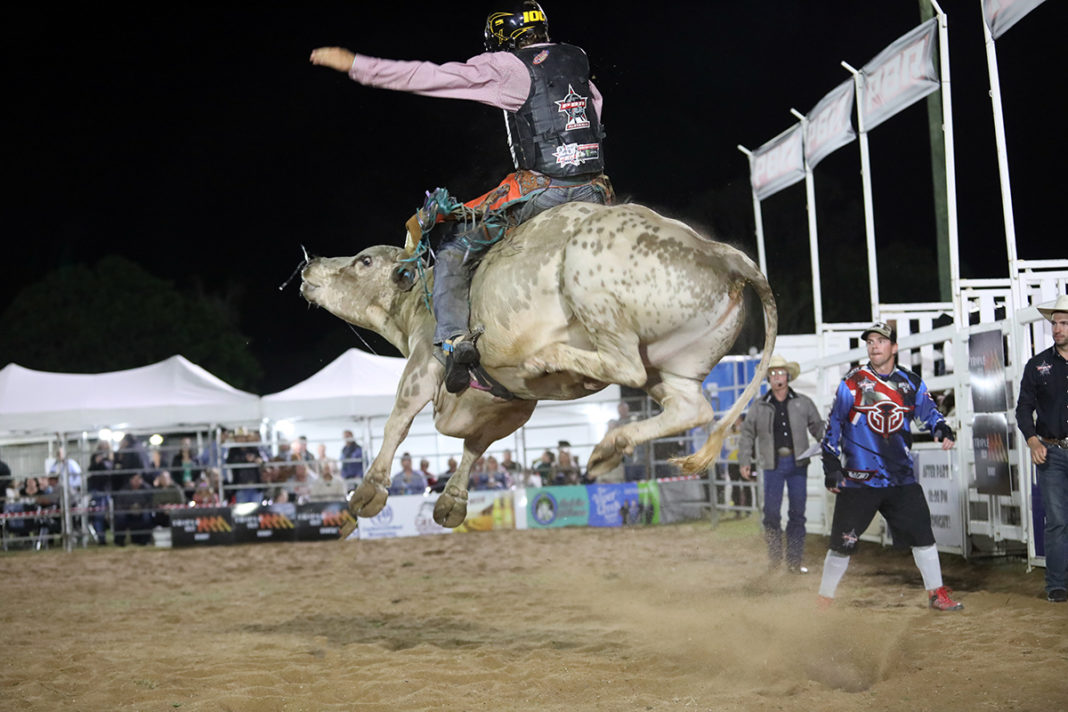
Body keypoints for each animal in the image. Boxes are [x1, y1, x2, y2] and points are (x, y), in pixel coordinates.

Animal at [301, 199, 777, 529]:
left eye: (364, 261)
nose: (310, 266)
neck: (419, 299)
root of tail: (723, 254)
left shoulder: (427, 361)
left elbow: (399, 420)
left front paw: (368, 492)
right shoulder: (509, 403)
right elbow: (476, 444)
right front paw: (452, 502)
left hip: (588, 280)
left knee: (626, 367)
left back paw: (550, 359)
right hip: (674, 367)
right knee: (689, 408)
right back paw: (607, 448)